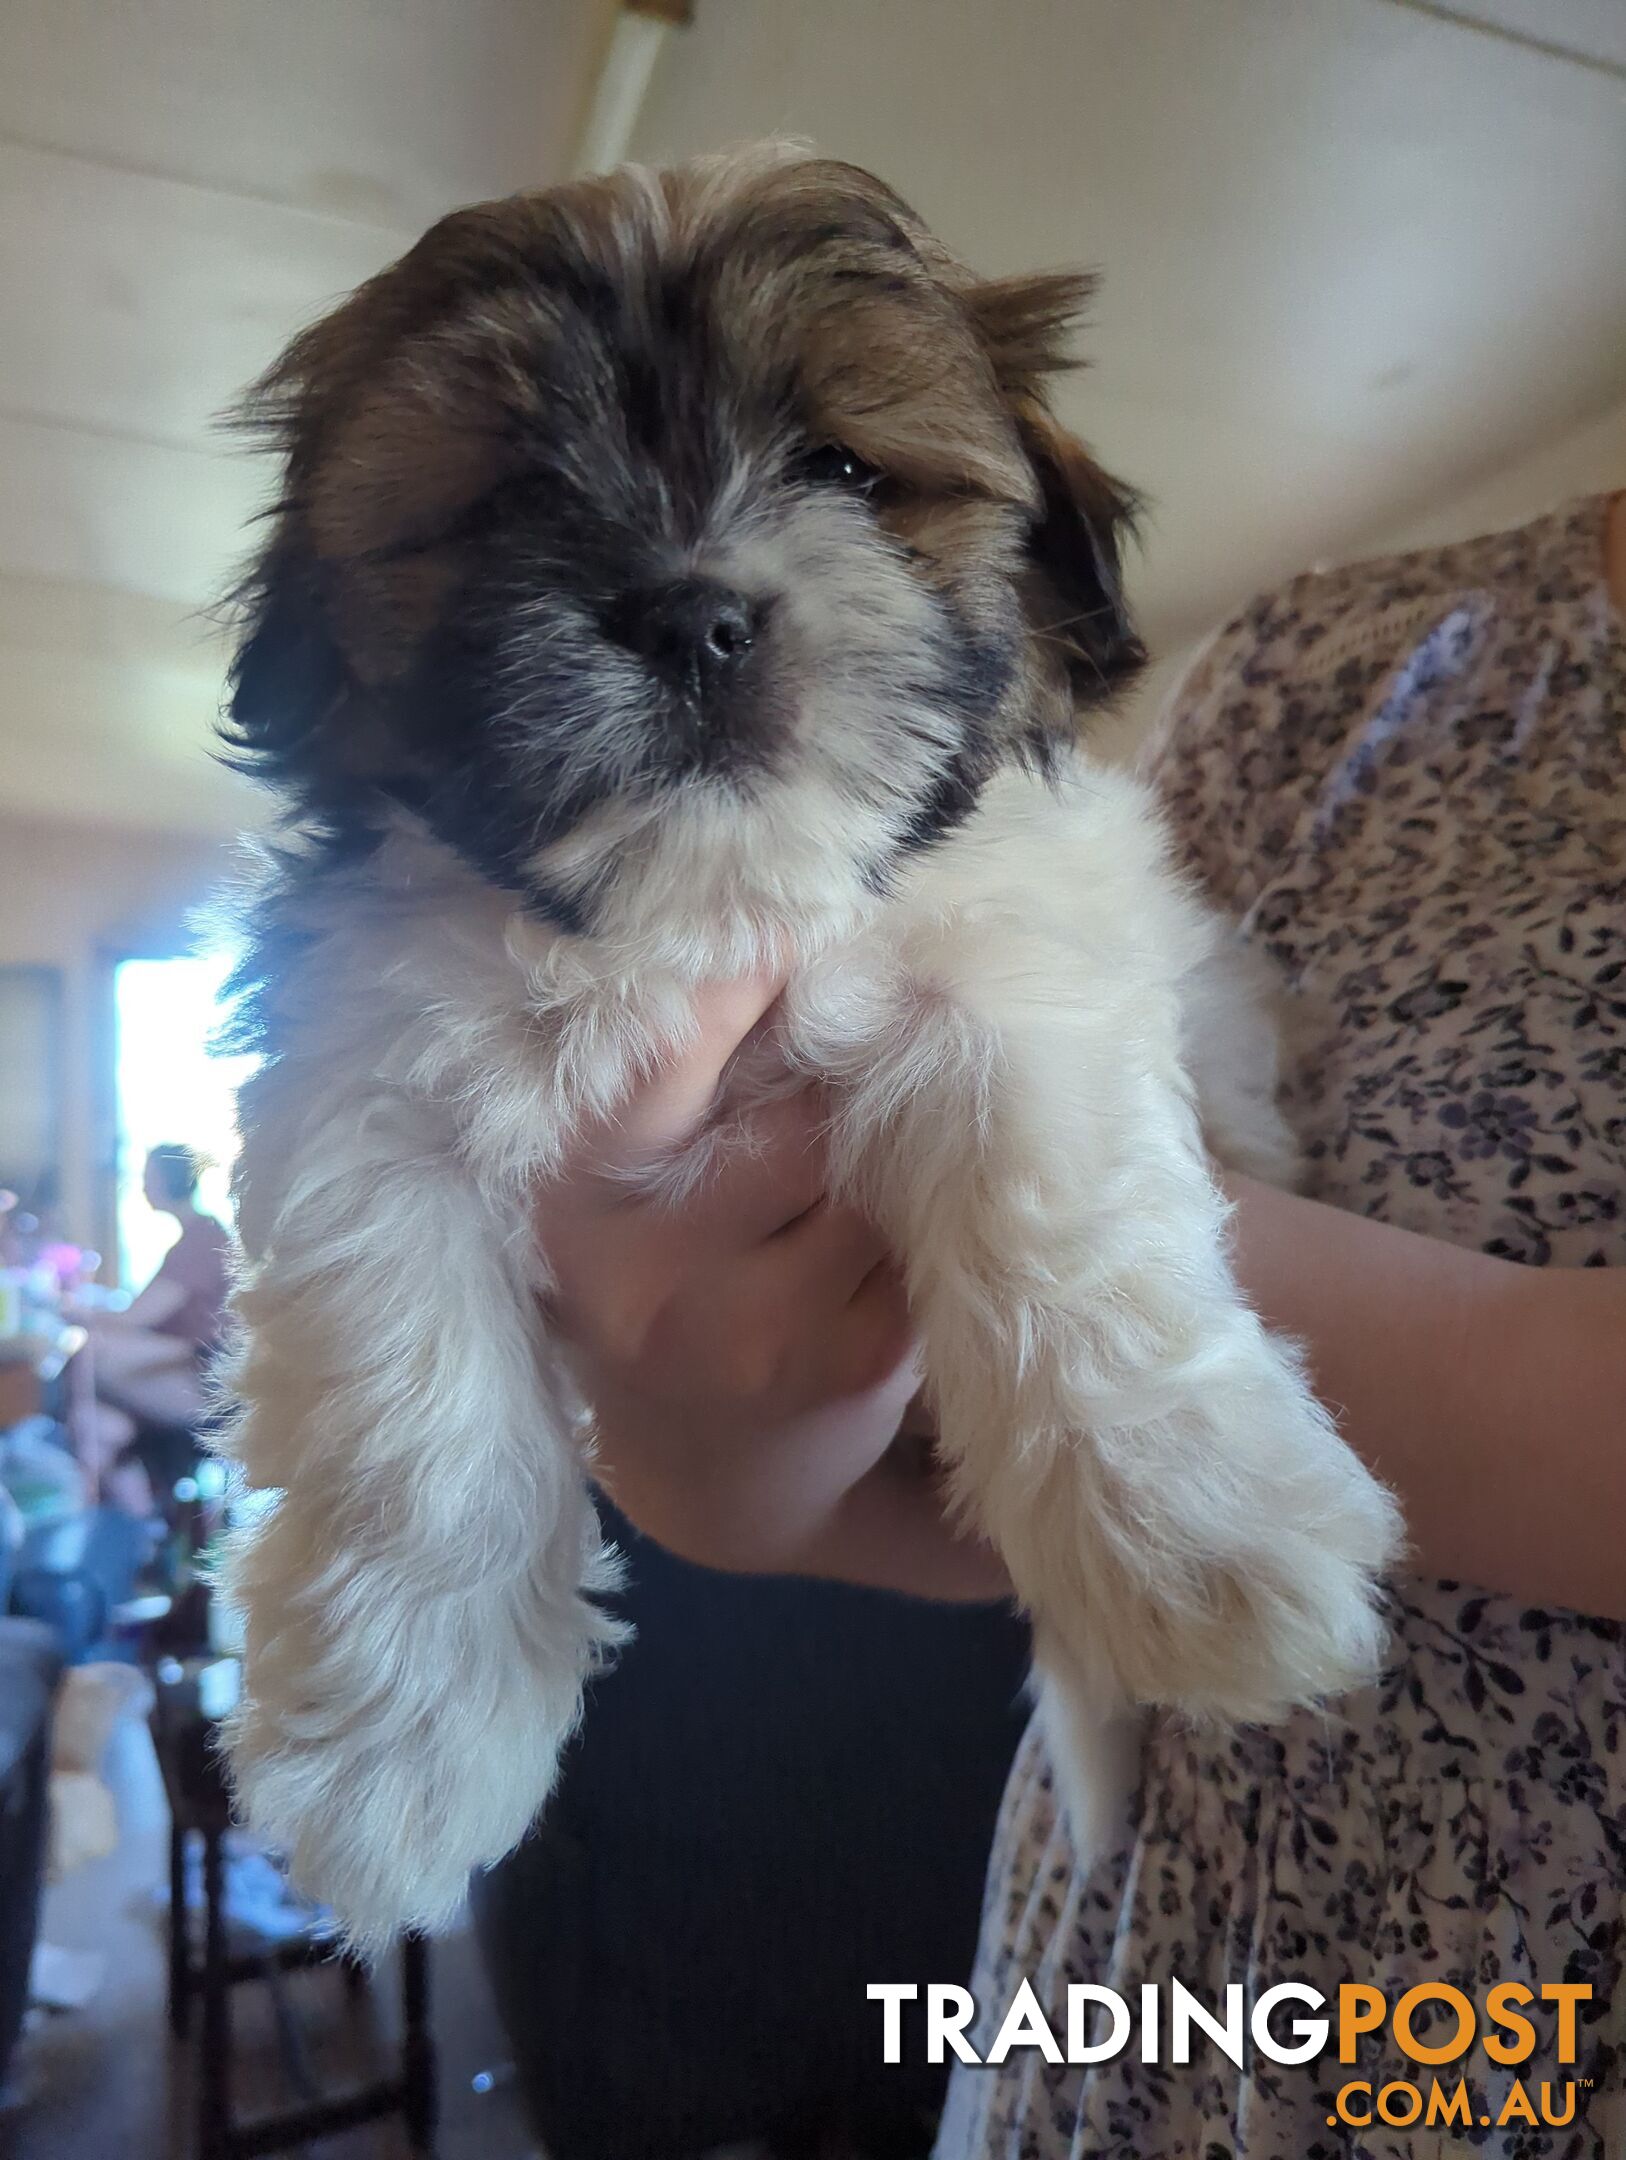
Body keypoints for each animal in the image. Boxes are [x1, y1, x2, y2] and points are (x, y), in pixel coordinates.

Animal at [222, 143, 1399, 1952]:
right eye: (501, 503)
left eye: (843, 466)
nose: (691, 614)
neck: (697, 921)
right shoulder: (359, 1076)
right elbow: (406, 1415)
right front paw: (403, 1746)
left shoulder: (1019, 966)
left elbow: (1063, 1224)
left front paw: (1188, 1528)